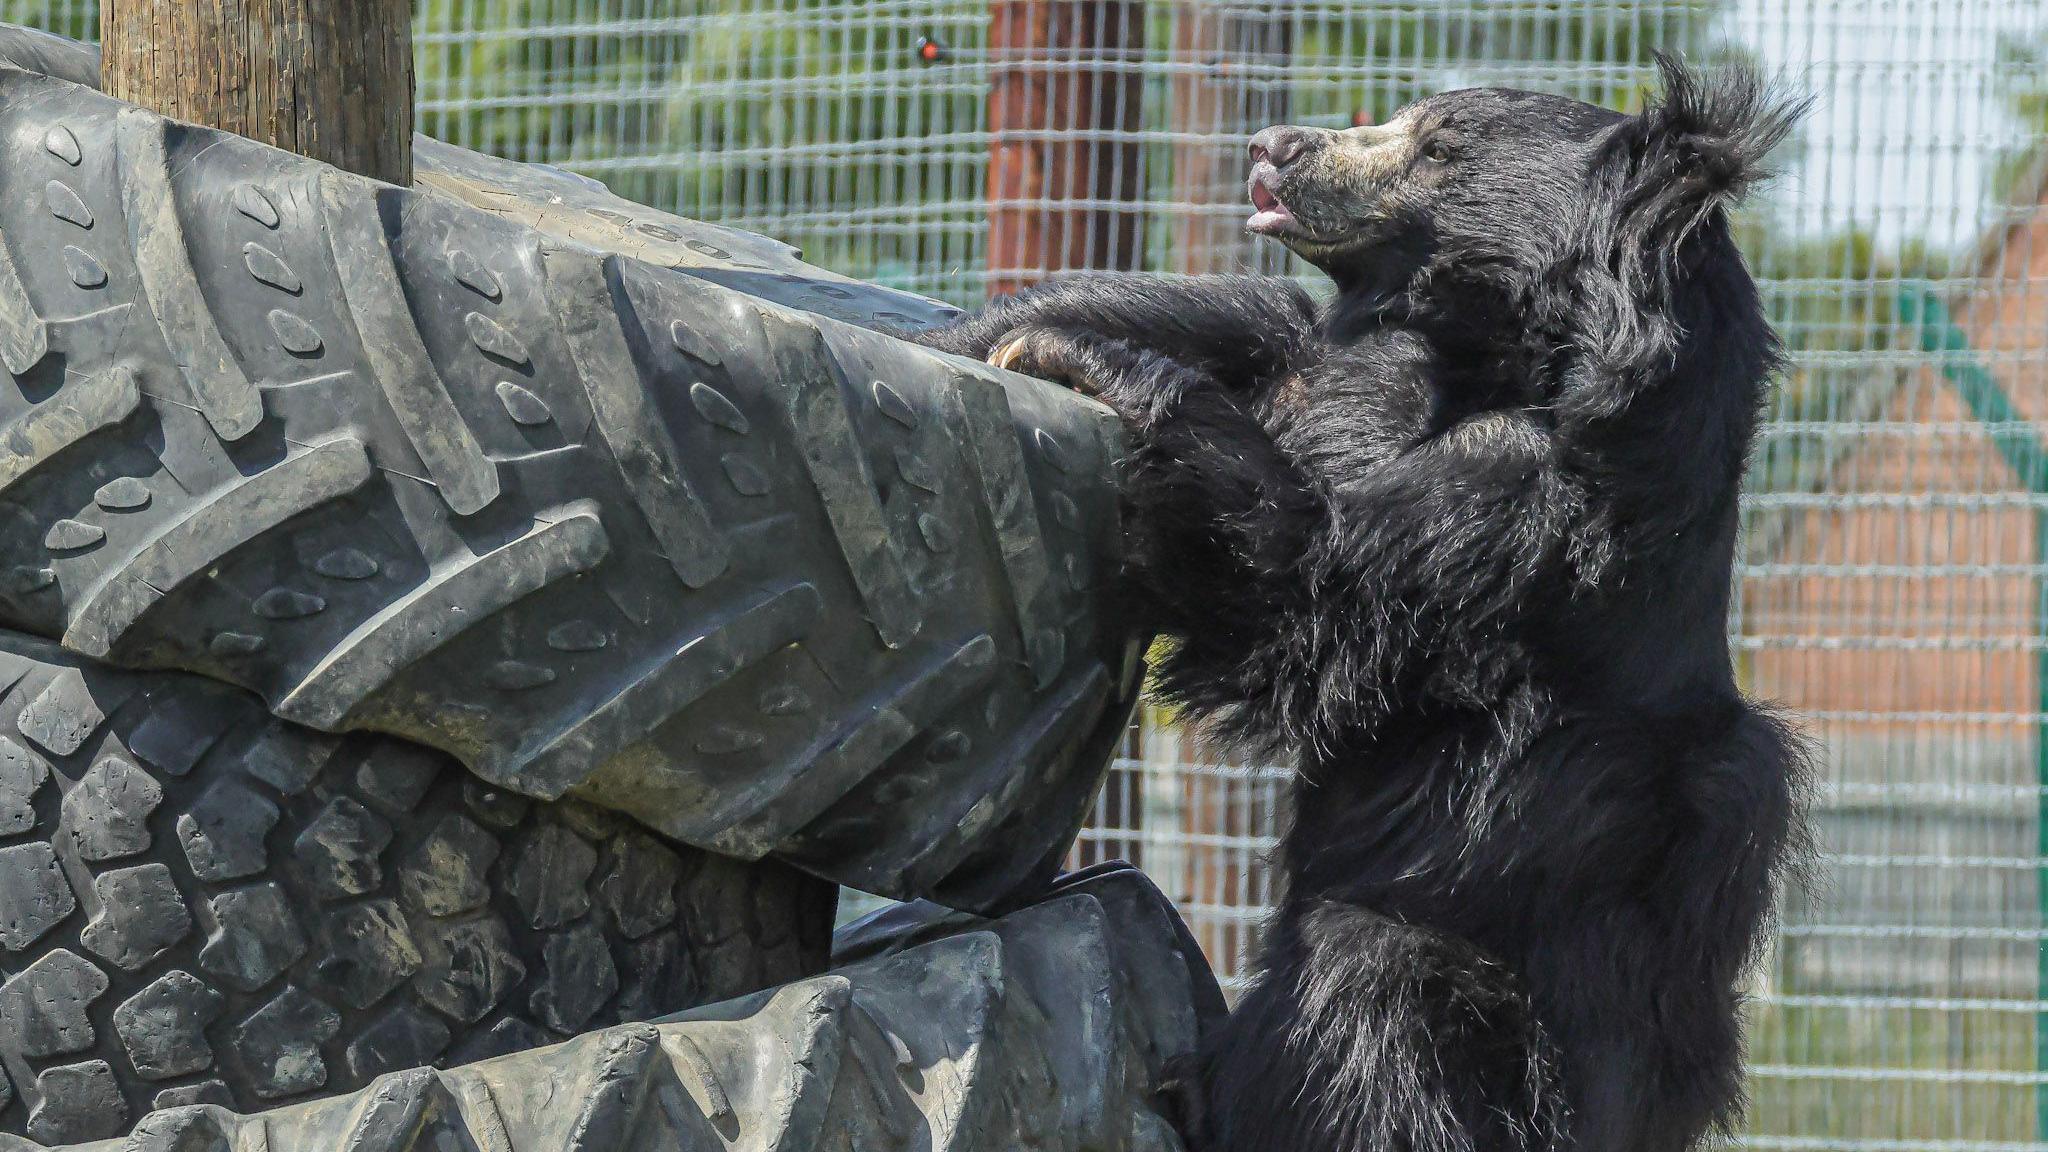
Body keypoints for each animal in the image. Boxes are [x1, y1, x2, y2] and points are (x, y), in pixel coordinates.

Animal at [913, 56, 1809, 1152]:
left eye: (1437, 148)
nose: (1271, 147)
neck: (1499, 357)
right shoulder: (1354, 367)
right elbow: (1263, 334)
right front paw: (977, 327)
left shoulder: (1530, 520)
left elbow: (1309, 593)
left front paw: (1073, 358)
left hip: (1504, 1024)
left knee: (1362, 1008)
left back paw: (1199, 1090)